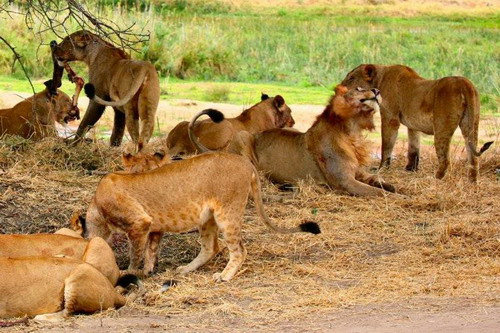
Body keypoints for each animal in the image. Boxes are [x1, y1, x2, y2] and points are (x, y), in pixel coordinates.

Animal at [80, 152, 318, 282]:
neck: (96, 206)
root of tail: (246, 162)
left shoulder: (139, 223)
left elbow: (135, 253)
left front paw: (128, 273)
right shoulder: (153, 227)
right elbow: (150, 251)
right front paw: (148, 270)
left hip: (227, 213)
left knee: (239, 250)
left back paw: (224, 276)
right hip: (207, 219)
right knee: (210, 248)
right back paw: (185, 269)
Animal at [342, 63, 494, 180]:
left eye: (351, 78)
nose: (340, 87)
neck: (380, 79)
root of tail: (464, 83)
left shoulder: (390, 118)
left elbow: (386, 146)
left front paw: (382, 168)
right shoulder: (413, 126)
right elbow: (413, 148)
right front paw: (411, 169)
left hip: (441, 127)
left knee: (445, 159)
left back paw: (435, 179)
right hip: (471, 123)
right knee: (473, 157)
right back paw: (472, 182)